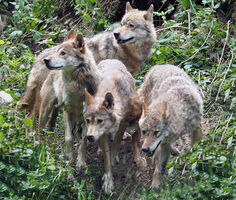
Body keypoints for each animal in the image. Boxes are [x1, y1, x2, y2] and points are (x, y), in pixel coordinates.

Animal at [17, 1, 157, 125]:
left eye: (131, 25)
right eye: (122, 24)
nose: (116, 34)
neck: (128, 51)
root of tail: (38, 58)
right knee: (28, 118)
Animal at [38, 30, 100, 169]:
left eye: (63, 53)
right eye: (57, 51)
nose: (46, 60)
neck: (76, 88)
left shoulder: (87, 118)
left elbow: (83, 141)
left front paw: (81, 163)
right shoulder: (67, 110)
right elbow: (68, 138)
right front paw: (70, 160)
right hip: (45, 110)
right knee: (39, 130)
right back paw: (38, 147)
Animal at [83, 59, 146, 194]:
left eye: (100, 121)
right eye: (88, 121)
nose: (90, 137)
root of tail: (111, 59)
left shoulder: (122, 125)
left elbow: (115, 145)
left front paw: (113, 160)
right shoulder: (103, 133)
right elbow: (106, 158)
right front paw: (108, 180)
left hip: (136, 118)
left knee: (133, 138)